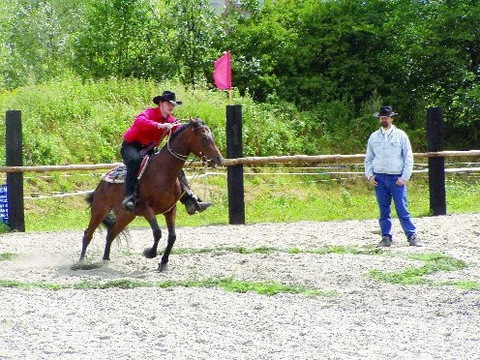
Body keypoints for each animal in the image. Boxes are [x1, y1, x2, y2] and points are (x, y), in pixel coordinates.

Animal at [76, 118, 223, 270]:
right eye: (204, 137)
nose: (219, 159)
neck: (162, 171)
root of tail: (101, 183)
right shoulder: (146, 208)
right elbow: (157, 232)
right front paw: (149, 253)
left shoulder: (170, 209)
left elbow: (172, 236)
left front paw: (163, 262)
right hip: (100, 210)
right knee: (88, 234)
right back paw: (80, 262)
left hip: (126, 215)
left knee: (111, 232)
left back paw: (105, 259)